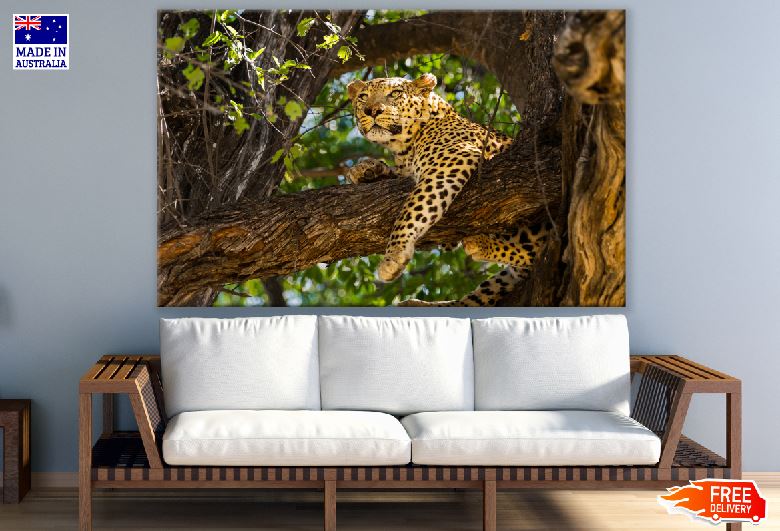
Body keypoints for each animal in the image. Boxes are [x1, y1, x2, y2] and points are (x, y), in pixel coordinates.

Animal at [345, 74, 552, 306]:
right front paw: (365, 170)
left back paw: (480, 244)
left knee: (535, 250)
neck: (404, 149)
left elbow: (413, 209)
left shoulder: (452, 159)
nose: (371, 110)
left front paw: (394, 255)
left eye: (395, 93)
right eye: (363, 97)